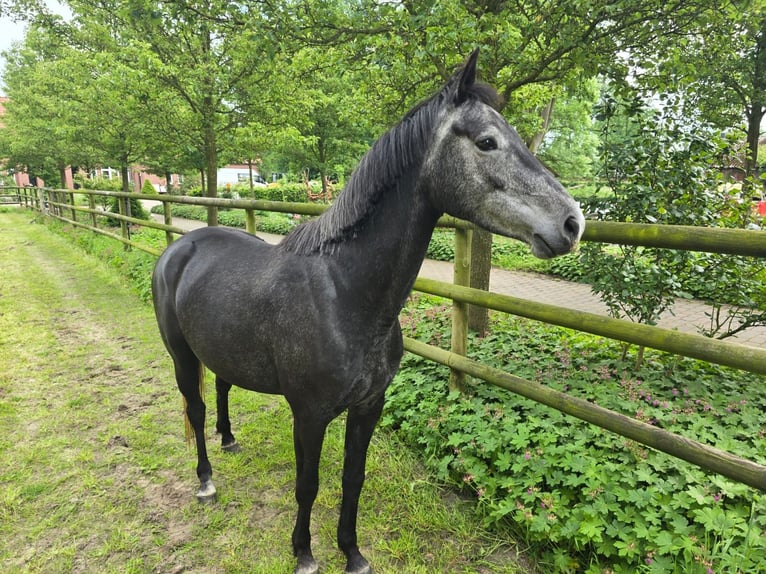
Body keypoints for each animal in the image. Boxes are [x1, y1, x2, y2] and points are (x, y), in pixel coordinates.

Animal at [152, 50, 588, 574]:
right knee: (194, 409)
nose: (573, 223)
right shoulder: (309, 414)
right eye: (487, 141)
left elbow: (352, 479)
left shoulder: (369, 406)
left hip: (220, 350)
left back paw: (229, 438)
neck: (343, 295)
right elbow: (308, 483)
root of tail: (180, 248)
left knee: (220, 387)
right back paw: (205, 480)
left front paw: (352, 552)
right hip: (181, 355)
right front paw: (304, 552)